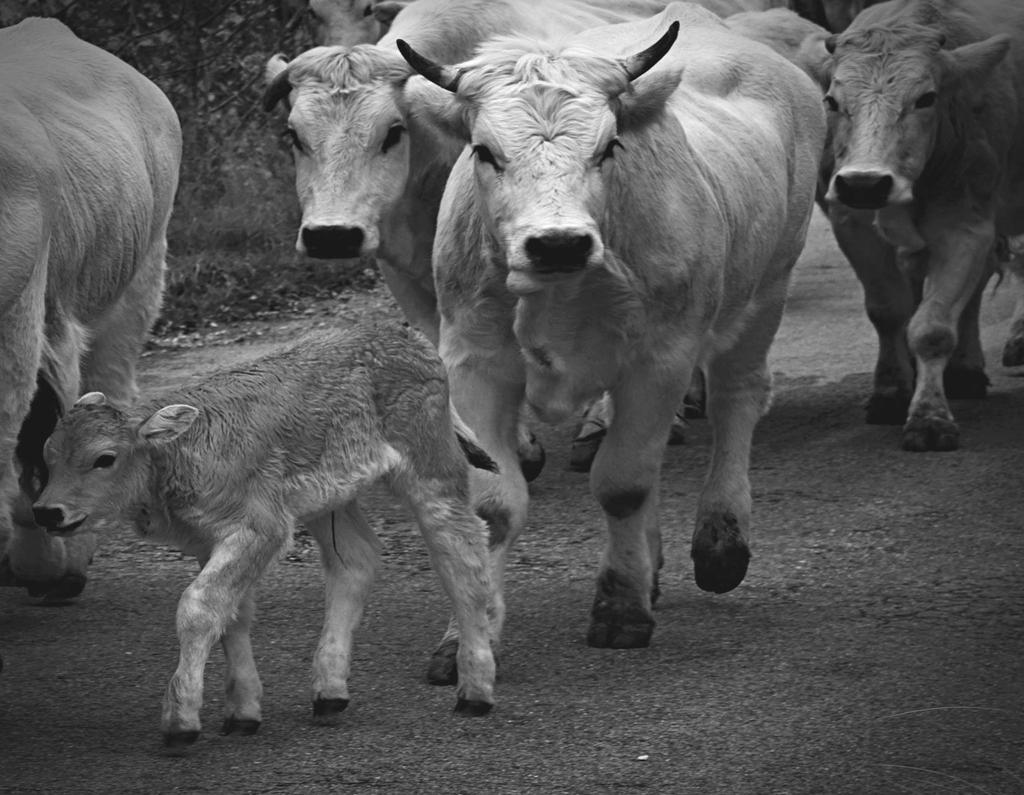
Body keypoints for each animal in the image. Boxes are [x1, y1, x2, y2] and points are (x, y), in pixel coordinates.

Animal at [30, 319, 495, 749]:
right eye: (48, 456)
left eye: (104, 458)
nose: (48, 511)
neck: (178, 449)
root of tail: (406, 336)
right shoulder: (211, 542)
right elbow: (232, 615)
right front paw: (242, 714)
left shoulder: (260, 530)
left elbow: (199, 607)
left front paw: (181, 720)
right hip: (331, 501)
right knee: (354, 561)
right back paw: (329, 693)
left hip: (430, 470)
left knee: (461, 551)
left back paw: (474, 691)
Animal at [395, 1, 827, 647]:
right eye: (484, 150)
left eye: (608, 147)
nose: (558, 243)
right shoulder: (475, 358)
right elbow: (494, 505)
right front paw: (467, 640)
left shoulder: (662, 358)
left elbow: (623, 484)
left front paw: (621, 607)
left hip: (766, 290)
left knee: (736, 400)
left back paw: (721, 541)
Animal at [819, 0, 1024, 450]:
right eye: (832, 101)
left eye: (926, 98)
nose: (864, 183)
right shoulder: (853, 224)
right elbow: (888, 310)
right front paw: (891, 391)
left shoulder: (966, 226)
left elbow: (932, 328)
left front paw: (929, 417)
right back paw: (965, 370)